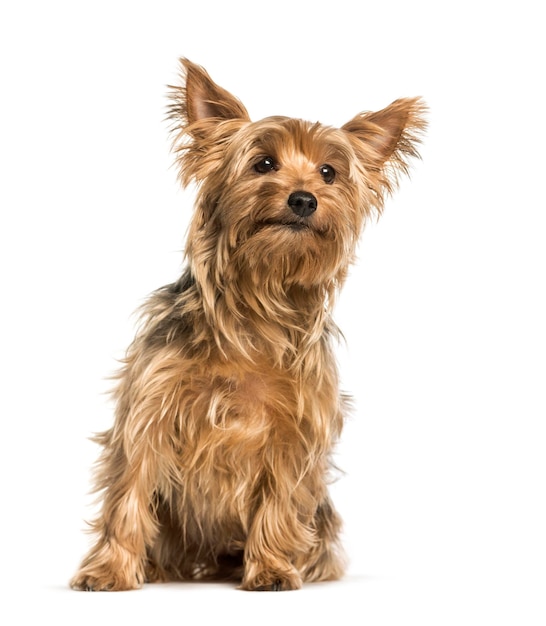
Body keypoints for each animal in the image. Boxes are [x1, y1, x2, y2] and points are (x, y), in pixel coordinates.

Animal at [69, 58, 424, 588]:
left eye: (329, 173)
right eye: (264, 164)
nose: (304, 199)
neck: (259, 305)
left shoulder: (296, 429)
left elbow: (279, 498)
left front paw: (272, 567)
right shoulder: (150, 411)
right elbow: (129, 491)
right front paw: (110, 569)